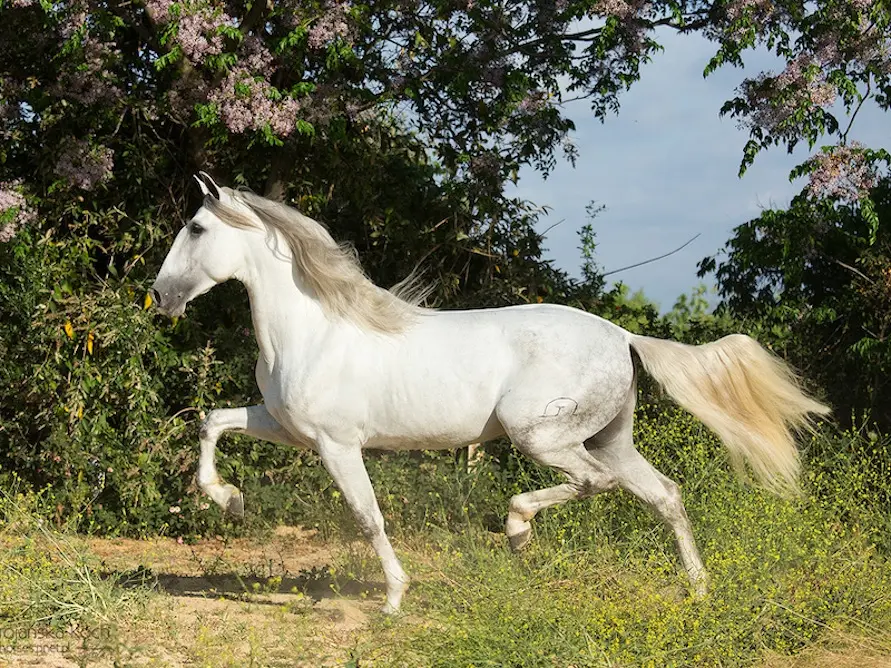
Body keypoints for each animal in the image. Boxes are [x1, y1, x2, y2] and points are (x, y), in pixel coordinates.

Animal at [148, 175, 828, 612]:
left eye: (196, 227)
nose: (160, 296)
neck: (314, 330)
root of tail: (621, 335)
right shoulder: (286, 427)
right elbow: (212, 421)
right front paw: (229, 501)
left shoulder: (337, 445)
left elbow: (368, 516)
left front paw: (394, 599)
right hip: (611, 439)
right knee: (664, 494)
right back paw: (698, 590)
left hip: (544, 436)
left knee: (596, 483)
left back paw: (518, 527)